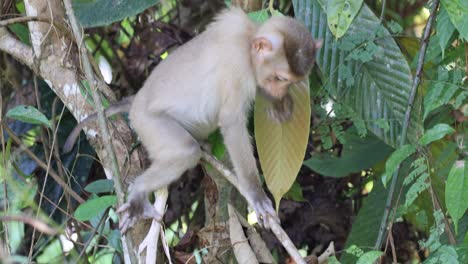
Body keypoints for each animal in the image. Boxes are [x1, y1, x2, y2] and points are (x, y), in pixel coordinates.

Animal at [65, 7, 322, 233]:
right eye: (280, 78)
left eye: (289, 82)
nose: (281, 91)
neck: (248, 41)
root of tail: (136, 100)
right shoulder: (237, 67)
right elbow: (231, 122)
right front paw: (255, 193)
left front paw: (279, 103)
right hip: (147, 123)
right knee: (186, 151)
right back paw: (139, 190)